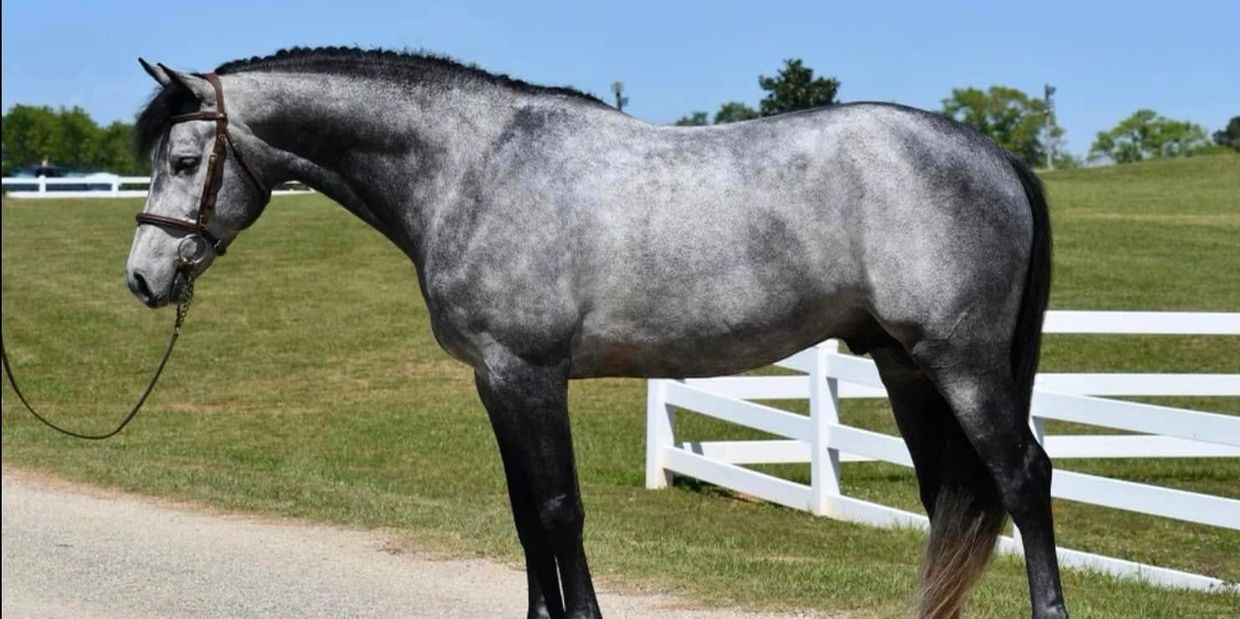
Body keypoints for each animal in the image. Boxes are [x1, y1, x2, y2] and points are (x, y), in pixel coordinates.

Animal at [125, 48, 1064, 618]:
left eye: (182, 161)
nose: (143, 277)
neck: (473, 168)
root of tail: (994, 156)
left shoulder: (530, 376)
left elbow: (558, 510)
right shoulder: (494, 381)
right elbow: (525, 517)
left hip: (964, 364)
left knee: (1023, 478)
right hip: (907, 368)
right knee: (950, 499)